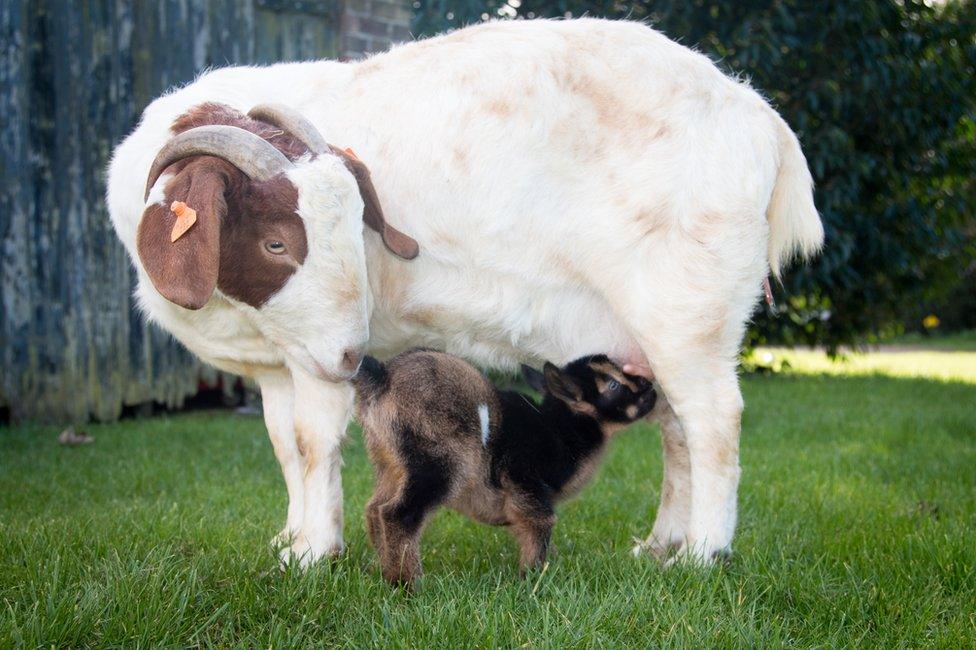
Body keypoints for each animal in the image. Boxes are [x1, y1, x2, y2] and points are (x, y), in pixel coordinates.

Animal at [350, 350, 656, 584]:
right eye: (613, 385)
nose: (650, 386)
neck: (559, 427)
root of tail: (382, 378)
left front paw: (551, 564)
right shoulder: (524, 480)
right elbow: (542, 522)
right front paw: (533, 578)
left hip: (391, 463)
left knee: (374, 509)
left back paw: (381, 571)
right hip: (438, 462)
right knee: (398, 514)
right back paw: (408, 584)